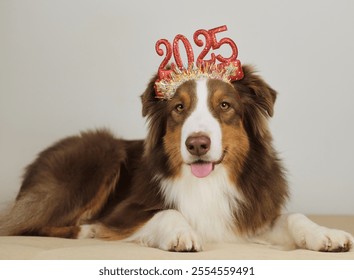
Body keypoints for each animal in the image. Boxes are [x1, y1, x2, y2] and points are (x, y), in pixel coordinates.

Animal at [0, 65, 352, 252]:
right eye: (179, 108)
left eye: (225, 106)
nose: (197, 144)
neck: (209, 181)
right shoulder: (124, 212)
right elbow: (166, 212)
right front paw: (182, 233)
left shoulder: (246, 217)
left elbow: (293, 217)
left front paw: (326, 234)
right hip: (101, 153)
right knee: (24, 225)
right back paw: (87, 230)